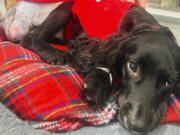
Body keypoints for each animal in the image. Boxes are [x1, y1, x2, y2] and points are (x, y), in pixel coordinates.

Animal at [20, 1, 180, 135]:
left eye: (170, 82)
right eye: (132, 66)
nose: (136, 126)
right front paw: (98, 85)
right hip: (64, 10)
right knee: (29, 37)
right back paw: (52, 52)